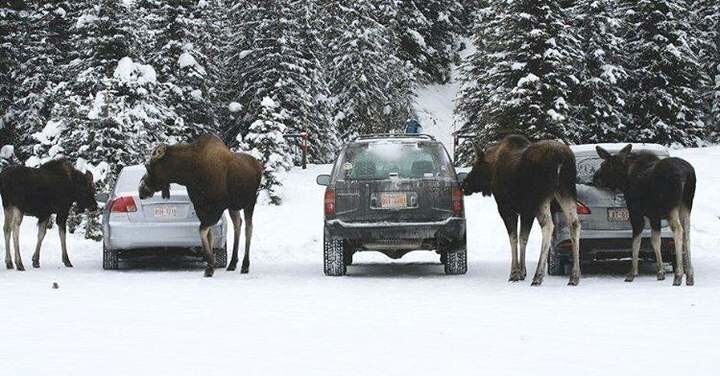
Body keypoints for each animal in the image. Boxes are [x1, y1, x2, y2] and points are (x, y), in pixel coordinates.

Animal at [138, 134, 262, 278]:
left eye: (148, 166)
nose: (141, 189)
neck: (189, 174)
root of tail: (259, 167)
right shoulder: (201, 207)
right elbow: (207, 234)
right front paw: (210, 265)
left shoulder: (217, 208)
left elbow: (202, 231)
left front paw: (210, 266)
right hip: (233, 206)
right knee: (238, 224)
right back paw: (232, 263)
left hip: (250, 201)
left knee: (249, 227)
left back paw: (245, 265)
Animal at [464, 135, 584, 284]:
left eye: (475, 166)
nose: (464, 184)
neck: (492, 172)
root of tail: (561, 159)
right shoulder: (526, 211)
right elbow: (523, 238)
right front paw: (522, 272)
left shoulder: (507, 209)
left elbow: (513, 238)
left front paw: (514, 273)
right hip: (566, 190)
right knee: (574, 223)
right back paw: (575, 276)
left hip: (540, 197)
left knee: (548, 225)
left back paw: (538, 276)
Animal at [592, 145, 696, 286]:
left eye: (604, 165)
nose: (595, 178)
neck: (625, 180)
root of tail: (686, 174)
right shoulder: (654, 216)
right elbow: (655, 241)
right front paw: (660, 273)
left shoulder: (635, 213)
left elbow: (636, 242)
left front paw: (632, 273)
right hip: (686, 205)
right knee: (687, 233)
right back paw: (690, 276)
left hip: (671, 207)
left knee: (679, 230)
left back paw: (678, 276)